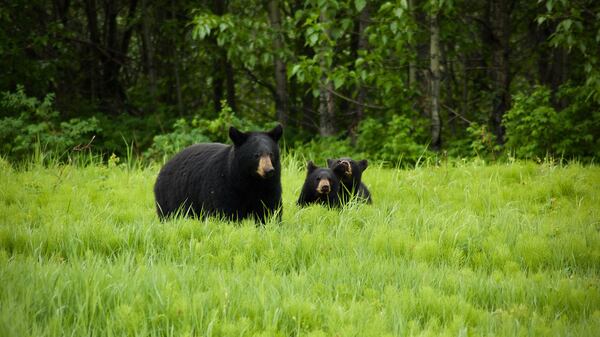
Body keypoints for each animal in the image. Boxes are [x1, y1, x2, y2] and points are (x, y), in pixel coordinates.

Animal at [155, 124, 286, 223]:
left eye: (271, 154)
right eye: (256, 155)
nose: (268, 170)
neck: (251, 181)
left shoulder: (270, 186)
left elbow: (270, 210)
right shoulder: (223, 184)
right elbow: (225, 212)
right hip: (171, 196)